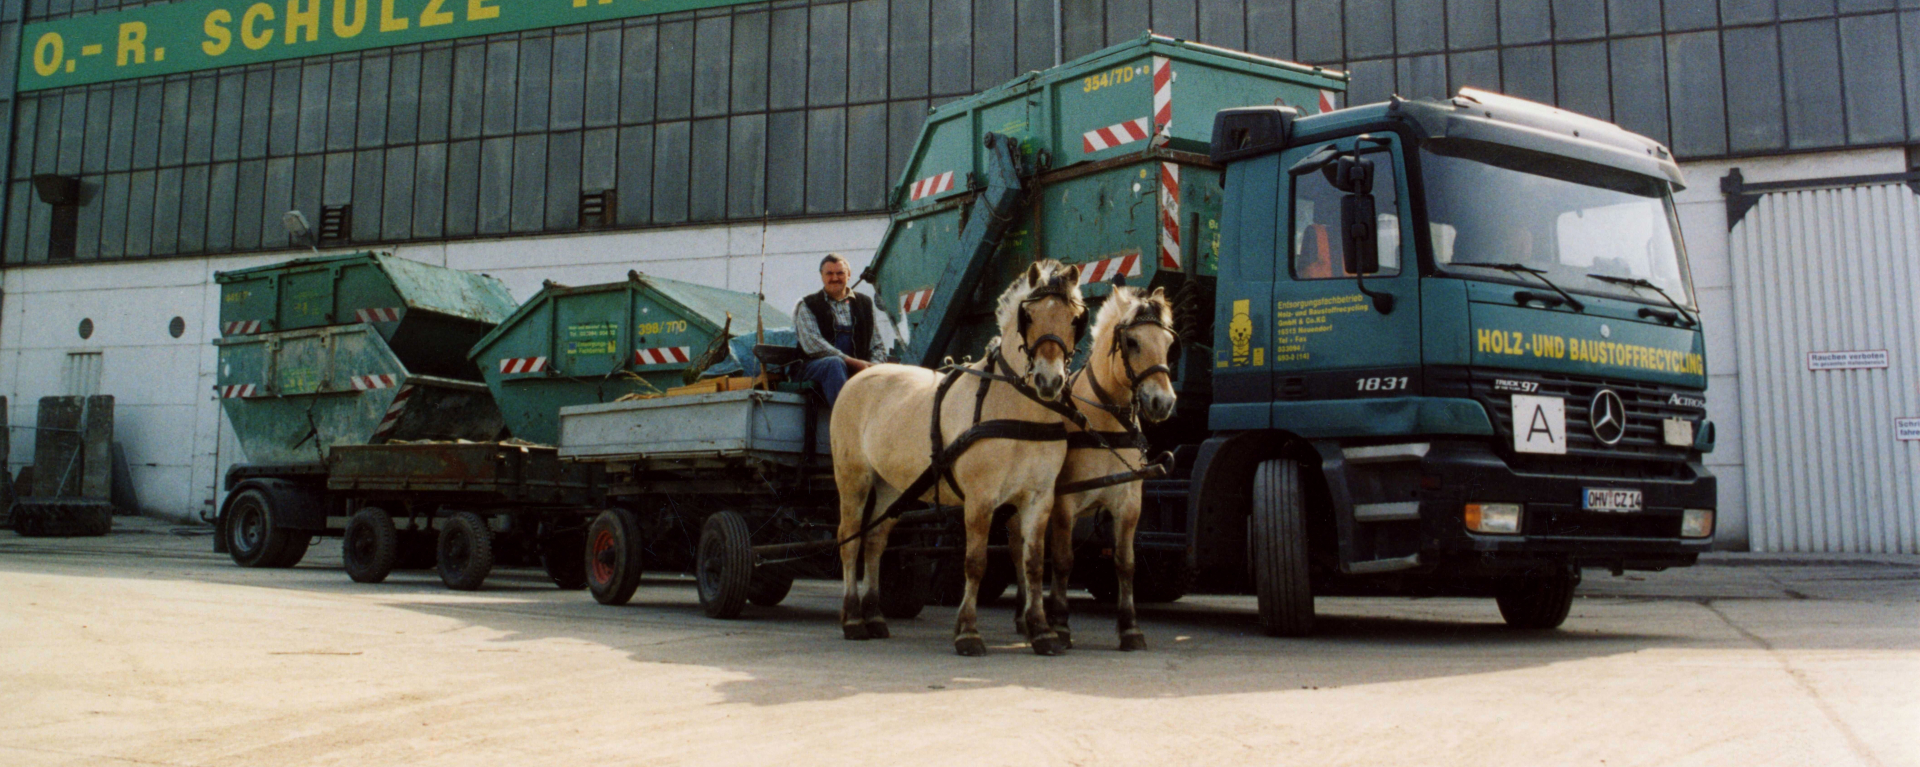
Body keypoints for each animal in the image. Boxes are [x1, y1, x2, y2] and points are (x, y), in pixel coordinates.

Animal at [833, 261, 1090, 657]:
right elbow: (975, 562)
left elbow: (1032, 564)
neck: (1017, 409)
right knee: (850, 539)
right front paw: (968, 632)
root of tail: (860, 375)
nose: (1049, 381)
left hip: (892, 486)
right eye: (1028, 316)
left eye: (1075, 318)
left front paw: (1041, 630)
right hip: (854, 479)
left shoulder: (1039, 498)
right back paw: (852, 620)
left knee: (875, 539)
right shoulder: (980, 499)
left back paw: (874, 616)